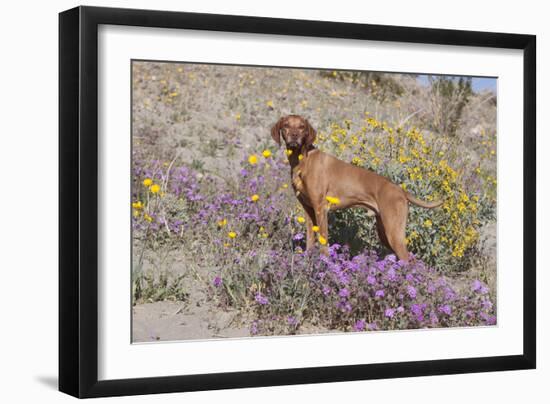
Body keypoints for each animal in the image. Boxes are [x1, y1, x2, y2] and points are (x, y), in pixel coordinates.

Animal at [274, 113, 446, 262]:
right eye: (286, 125)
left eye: (302, 127)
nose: (294, 136)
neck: (303, 160)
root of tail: (399, 190)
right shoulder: (309, 210)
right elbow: (310, 241)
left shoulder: (320, 209)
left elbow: (323, 243)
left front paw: (324, 262)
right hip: (384, 231)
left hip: (393, 232)